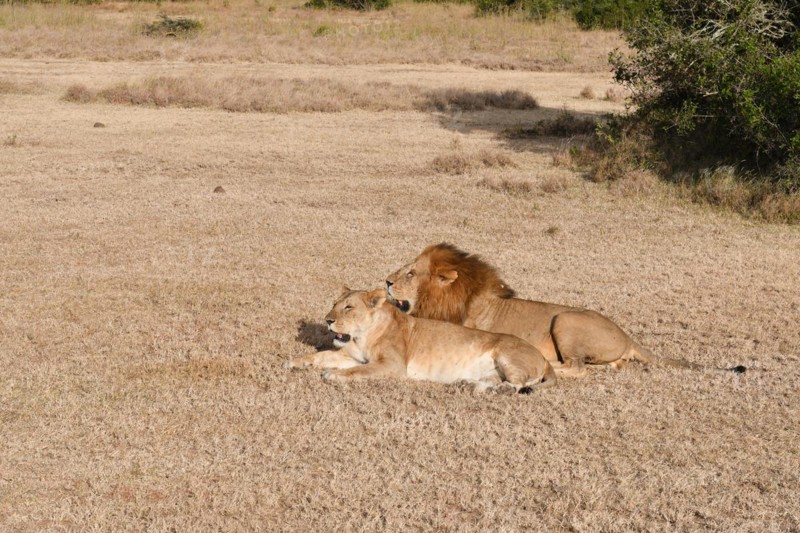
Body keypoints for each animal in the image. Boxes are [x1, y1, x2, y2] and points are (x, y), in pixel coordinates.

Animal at [286, 287, 556, 393]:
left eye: (348, 307)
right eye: (334, 305)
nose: (328, 320)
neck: (362, 336)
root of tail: (543, 358)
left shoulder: (392, 365)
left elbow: (358, 371)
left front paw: (333, 375)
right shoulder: (351, 356)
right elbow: (322, 355)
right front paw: (296, 362)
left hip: (507, 355)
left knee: (517, 384)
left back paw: (499, 390)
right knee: (490, 381)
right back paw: (467, 384)